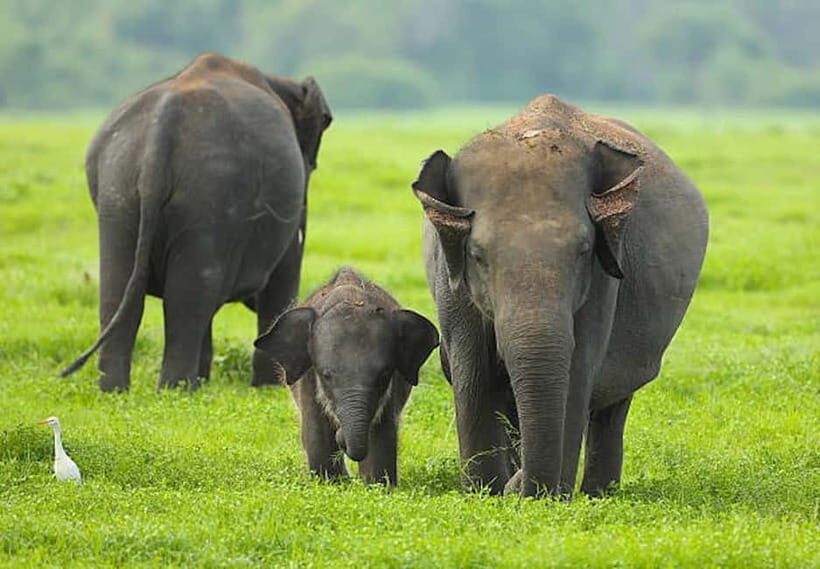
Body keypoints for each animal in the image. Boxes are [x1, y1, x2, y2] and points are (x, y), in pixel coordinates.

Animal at [61, 52, 332, 391]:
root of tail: (161, 131)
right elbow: (285, 269)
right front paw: (270, 388)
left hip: (118, 189)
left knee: (122, 288)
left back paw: (120, 391)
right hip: (211, 191)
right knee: (190, 294)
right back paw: (177, 389)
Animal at [254, 268, 439, 485]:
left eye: (384, 375)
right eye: (326, 375)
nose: (341, 436)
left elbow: (382, 431)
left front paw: (377, 486)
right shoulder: (307, 377)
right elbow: (316, 430)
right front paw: (331, 484)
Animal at [412, 94, 708, 498]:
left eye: (582, 251)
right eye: (477, 255)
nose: (517, 486)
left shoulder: (603, 276)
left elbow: (578, 368)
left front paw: (547, 497)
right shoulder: (450, 278)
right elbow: (472, 371)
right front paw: (484, 492)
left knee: (613, 406)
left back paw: (597, 493)